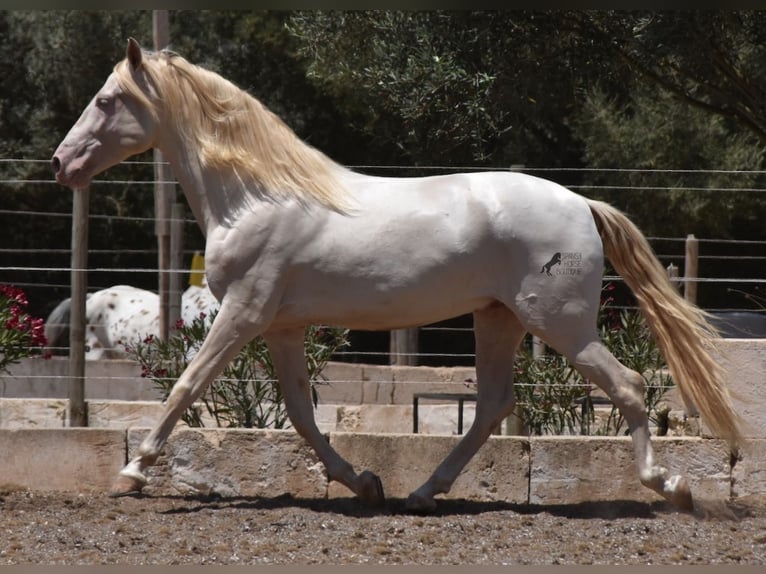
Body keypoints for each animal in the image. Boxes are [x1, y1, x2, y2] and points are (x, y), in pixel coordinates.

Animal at [49, 41, 744, 516]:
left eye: (107, 101)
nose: (61, 163)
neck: (254, 199)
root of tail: (581, 204)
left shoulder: (242, 313)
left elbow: (185, 387)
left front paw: (132, 474)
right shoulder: (280, 327)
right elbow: (300, 414)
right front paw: (364, 483)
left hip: (560, 323)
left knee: (628, 386)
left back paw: (672, 487)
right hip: (499, 319)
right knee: (492, 406)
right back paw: (421, 493)